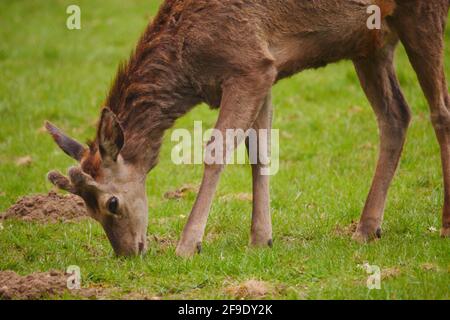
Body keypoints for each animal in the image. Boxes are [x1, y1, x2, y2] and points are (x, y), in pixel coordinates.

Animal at [45, 0, 450, 256]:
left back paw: (443, 224)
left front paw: (188, 245)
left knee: (440, 112)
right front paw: (261, 239)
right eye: (87, 211)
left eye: (111, 203)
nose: (128, 253)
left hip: (421, 13)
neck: (190, 66)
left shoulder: (248, 64)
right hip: (370, 43)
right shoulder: (266, 69)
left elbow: (216, 152)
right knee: (396, 115)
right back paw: (366, 228)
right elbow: (259, 153)